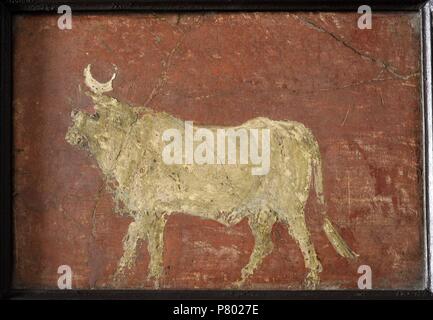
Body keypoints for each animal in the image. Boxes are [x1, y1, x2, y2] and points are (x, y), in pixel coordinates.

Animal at [66, 65, 356, 290]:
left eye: (95, 113)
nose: (70, 131)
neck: (128, 141)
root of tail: (292, 127)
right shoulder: (157, 212)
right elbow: (153, 248)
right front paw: (151, 278)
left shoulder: (146, 208)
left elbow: (132, 241)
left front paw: (120, 277)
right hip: (262, 210)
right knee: (266, 244)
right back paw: (240, 280)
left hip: (290, 206)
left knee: (304, 239)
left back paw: (311, 279)